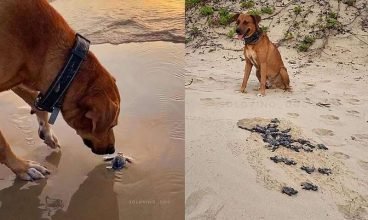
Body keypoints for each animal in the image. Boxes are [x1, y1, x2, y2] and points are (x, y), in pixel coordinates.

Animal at [0, 0, 121, 180]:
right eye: (112, 124)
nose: (112, 149)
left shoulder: (20, 78)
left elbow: (36, 101)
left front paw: (47, 132)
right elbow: (2, 144)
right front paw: (23, 167)